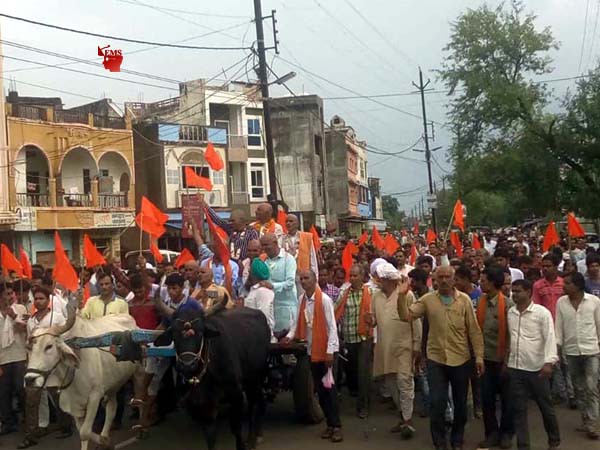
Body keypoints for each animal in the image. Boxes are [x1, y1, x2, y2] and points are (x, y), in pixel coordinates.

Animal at [25, 310, 139, 450]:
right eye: (29, 348)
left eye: (49, 346)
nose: (29, 379)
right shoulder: (72, 403)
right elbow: (82, 430)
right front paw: (104, 441)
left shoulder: (95, 396)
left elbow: (85, 432)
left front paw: (102, 441)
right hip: (112, 384)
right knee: (112, 407)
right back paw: (105, 435)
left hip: (138, 372)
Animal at [155, 306, 270, 450]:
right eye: (175, 335)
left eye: (200, 333)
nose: (187, 365)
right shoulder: (202, 406)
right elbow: (210, 436)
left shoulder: (236, 394)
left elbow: (236, 429)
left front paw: (242, 444)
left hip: (255, 378)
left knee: (254, 403)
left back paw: (252, 437)